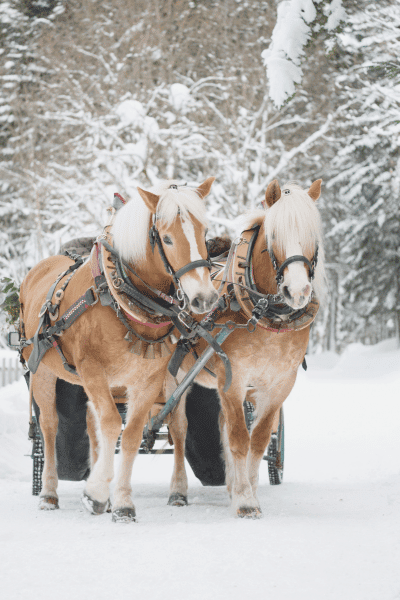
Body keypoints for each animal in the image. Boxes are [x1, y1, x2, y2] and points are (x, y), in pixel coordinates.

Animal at [19, 177, 217, 520]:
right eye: (167, 238)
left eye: (204, 233)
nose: (203, 298)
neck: (119, 296)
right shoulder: (91, 369)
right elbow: (112, 424)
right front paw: (97, 492)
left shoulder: (148, 379)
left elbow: (131, 434)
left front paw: (122, 502)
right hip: (43, 371)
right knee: (50, 426)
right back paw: (48, 493)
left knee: (97, 426)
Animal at [170, 178, 326, 516]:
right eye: (274, 236)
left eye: (313, 236)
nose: (298, 291)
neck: (267, 315)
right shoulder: (234, 378)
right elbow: (240, 438)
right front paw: (244, 500)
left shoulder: (278, 384)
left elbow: (258, 439)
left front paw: (248, 489)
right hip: (174, 378)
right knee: (178, 430)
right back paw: (178, 490)